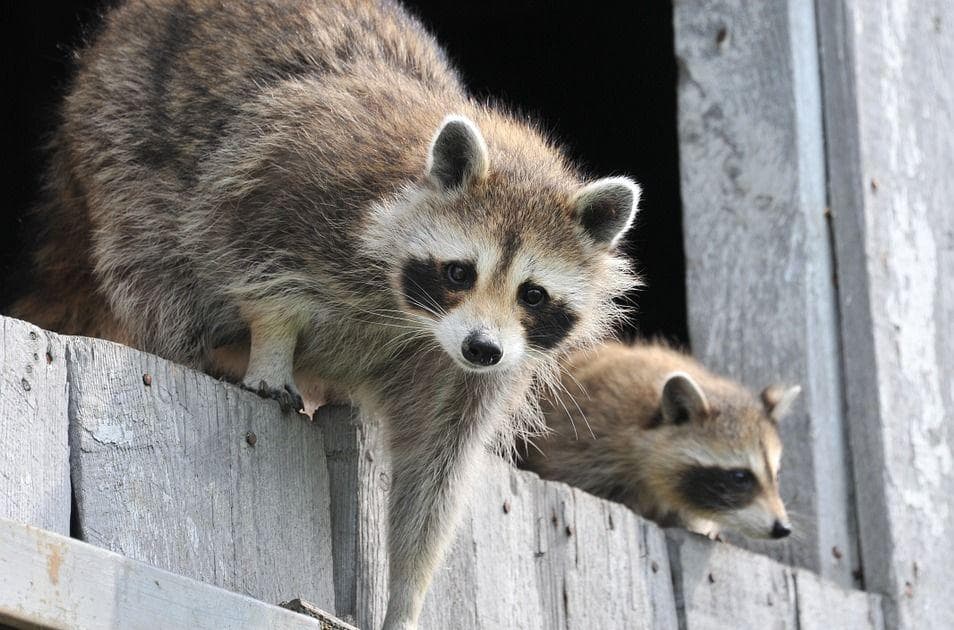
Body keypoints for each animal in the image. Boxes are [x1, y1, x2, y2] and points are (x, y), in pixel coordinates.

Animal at [11, 1, 640, 627]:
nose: (481, 348)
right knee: (149, 253)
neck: (411, 315)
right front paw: (272, 347)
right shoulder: (295, 179)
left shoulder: (470, 371)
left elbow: (435, 473)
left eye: (532, 295)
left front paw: (407, 592)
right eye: (460, 272)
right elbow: (256, 263)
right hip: (118, 119)